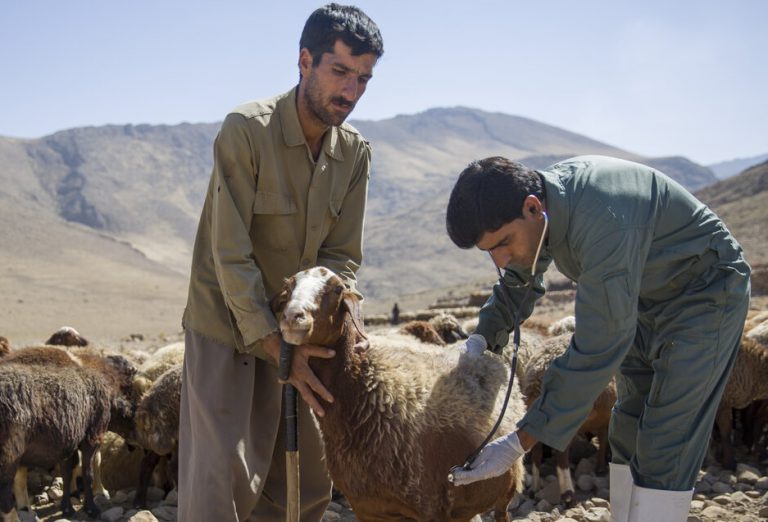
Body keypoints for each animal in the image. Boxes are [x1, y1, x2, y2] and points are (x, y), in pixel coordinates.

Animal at [0, 344, 140, 516]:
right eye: (129, 388)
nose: (135, 444)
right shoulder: (91, 436)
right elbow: (90, 468)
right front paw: (92, 504)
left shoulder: (69, 441)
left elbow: (69, 470)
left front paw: (69, 505)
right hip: (10, 453)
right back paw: (24, 509)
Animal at [272, 268, 528, 520]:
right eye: (288, 287)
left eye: (337, 289)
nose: (293, 316)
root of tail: (494, 356)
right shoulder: (366, 507)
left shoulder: (432, 506)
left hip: (505, 486)